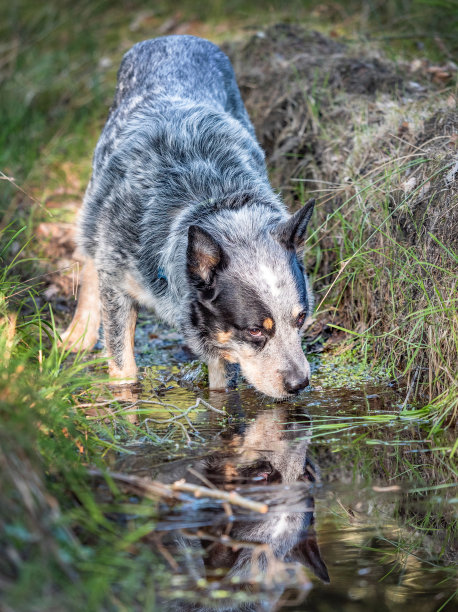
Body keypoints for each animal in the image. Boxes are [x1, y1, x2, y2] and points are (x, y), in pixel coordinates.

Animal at [62, 34, 314, 396]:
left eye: (300, 318)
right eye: (255, 330)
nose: (300, 384)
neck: (208, 199)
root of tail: (173, 37)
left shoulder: (218, 336)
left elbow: (221, 382)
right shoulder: (117, 283)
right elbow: (123, 363)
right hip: (96, 190)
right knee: (87, 251)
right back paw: (78, 332)